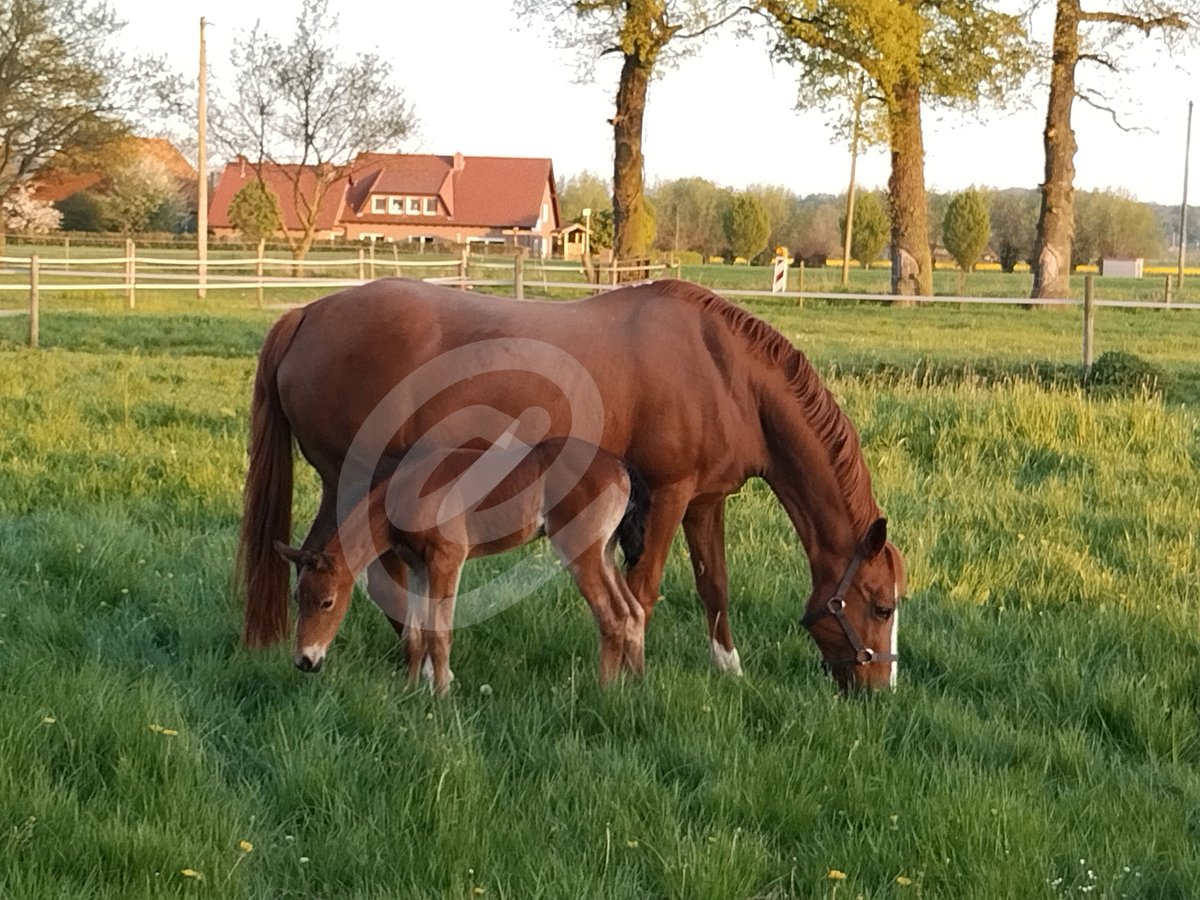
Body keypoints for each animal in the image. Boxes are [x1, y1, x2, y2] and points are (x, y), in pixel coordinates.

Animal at [274, 441, 648, 696]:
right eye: (296, 597)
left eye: (327, 602)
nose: (305, 661)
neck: (406, 492)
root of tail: (621, 467)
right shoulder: (417, 567)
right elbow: (414, 634)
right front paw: (408, 690)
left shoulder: (447, 560)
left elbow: (438, 634)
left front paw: (441, 697)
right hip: (605, 553)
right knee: (634, 611)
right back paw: (635, 685)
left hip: (580, 552)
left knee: (612, 616)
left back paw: (605, 690)